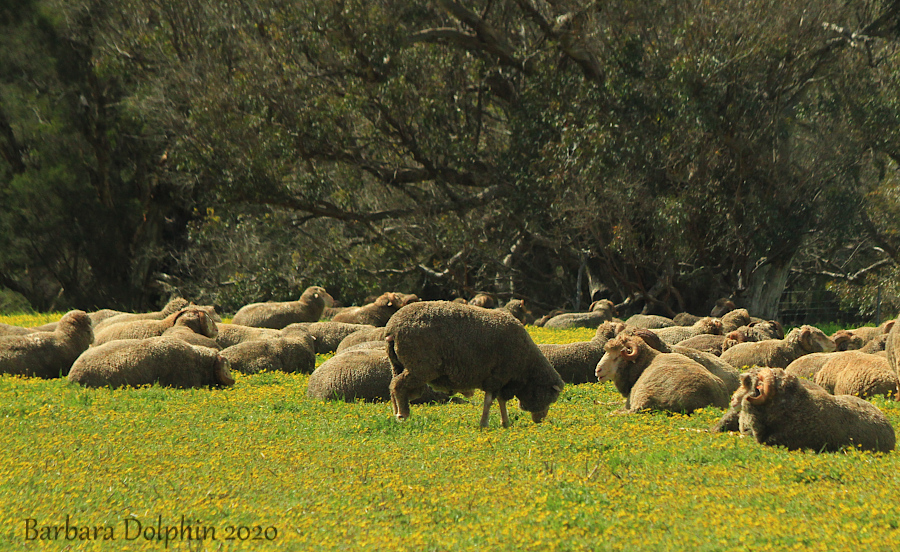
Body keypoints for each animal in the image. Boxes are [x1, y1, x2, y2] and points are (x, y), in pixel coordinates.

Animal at [384, 302, 564, 426]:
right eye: (549, 398)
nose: (540, 420)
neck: (527, 366)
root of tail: (392, 328)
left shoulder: (500, 380)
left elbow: (500, 401)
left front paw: (504, 422)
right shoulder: (498, 377)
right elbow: (490, 401)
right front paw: (486, 423)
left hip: (398, 364)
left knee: (393, 385)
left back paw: (396, 412)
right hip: (420, 367)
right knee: (398, 385)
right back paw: (402, 414)